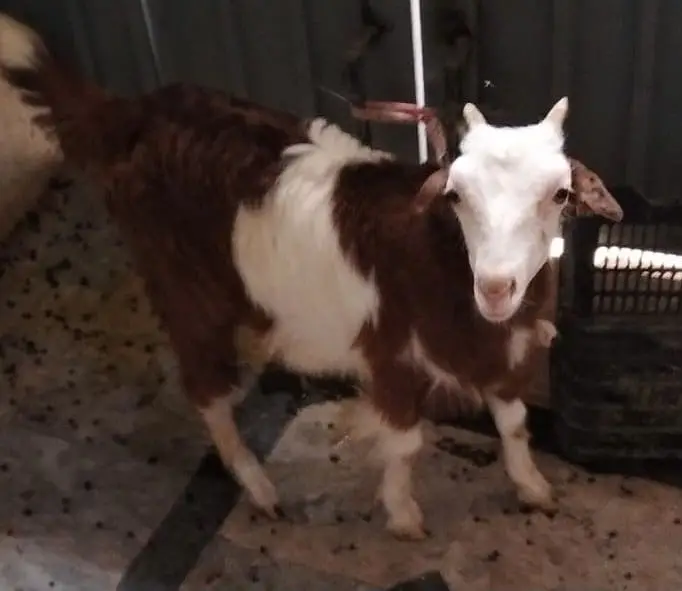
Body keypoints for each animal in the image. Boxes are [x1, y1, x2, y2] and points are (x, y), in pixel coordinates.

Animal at [0, 14, 623, 540]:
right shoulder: (391, 356)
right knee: (205, 389)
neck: (441, 264)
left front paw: (533, 487)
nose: (495, 286)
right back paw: (258, 487)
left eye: (560, 194)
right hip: (182, 285)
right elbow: (406, 442)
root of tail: (131, 114)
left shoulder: (500, 348)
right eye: (455, 195)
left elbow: (513, 421)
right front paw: (403, 517)